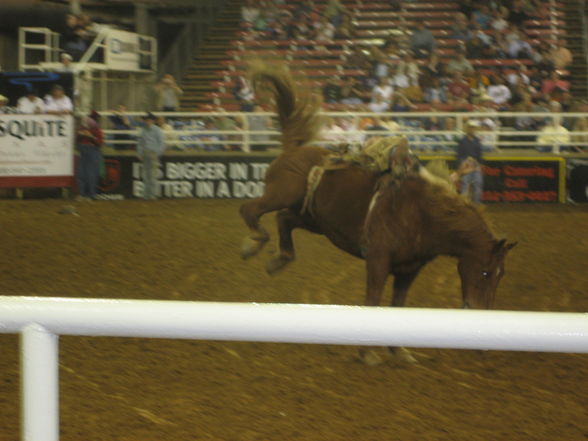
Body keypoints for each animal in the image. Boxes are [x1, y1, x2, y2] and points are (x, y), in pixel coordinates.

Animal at [239, 62, 516, 364]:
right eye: (486, 272)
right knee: (251, 209)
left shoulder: (409, 270)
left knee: (284, 218)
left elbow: (398, 306)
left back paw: (279, 259)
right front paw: (367, 353)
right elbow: (372, 301)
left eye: (501, 275)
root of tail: (294, 149)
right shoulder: (378, 260)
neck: (423, 215)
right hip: (283, 194)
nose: (482, 315)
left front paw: (399, 351)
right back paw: (254, 241)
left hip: (313, 218)